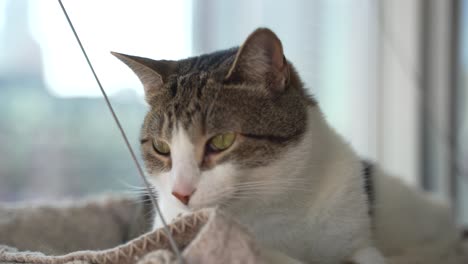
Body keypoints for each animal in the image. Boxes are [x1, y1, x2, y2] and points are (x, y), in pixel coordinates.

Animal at [112, 28, 460, 264]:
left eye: (221, 141)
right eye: (161, 147)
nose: (181, 193)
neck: (274, 202)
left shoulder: (360, 238)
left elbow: (367, 255)